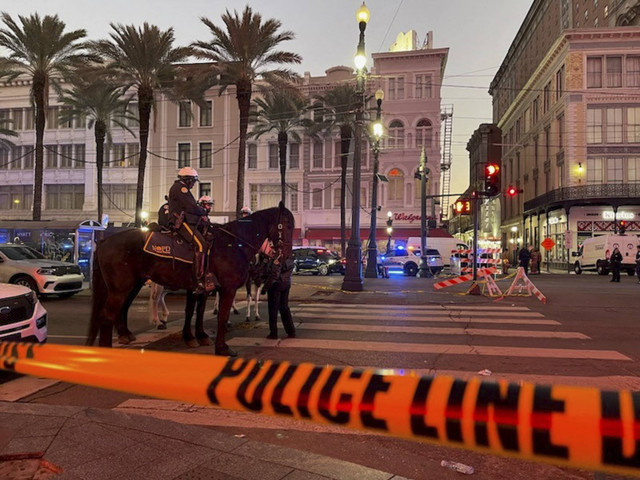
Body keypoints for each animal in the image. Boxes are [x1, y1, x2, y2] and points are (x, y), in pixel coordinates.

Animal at [86, 203, 294, 356]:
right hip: (122, 288)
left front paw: (198, 336)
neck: (235, 243)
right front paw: (222, 348)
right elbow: (221, 316)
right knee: (109, 315)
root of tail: (103, 241)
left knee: (120, 309)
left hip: (129, 285)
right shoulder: (227, 288)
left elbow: (197, 311)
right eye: (287, 225)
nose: (286, 257)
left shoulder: (203, 288)